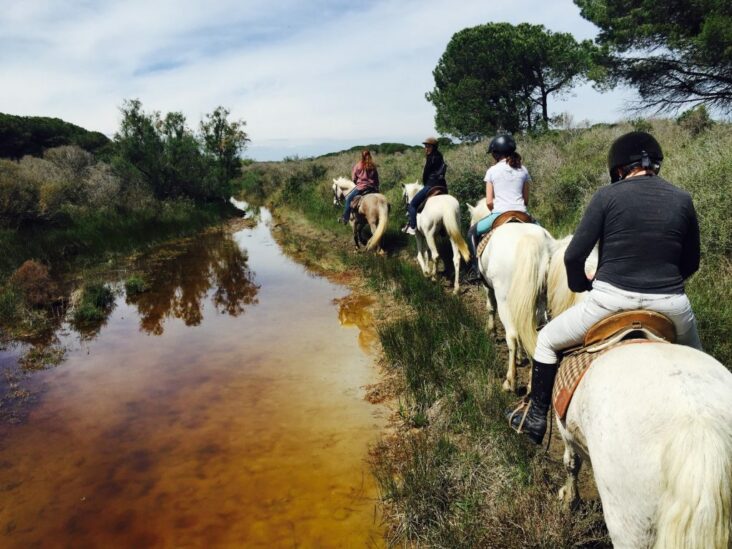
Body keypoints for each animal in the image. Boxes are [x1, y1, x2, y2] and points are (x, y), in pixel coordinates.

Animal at [466, 199, 552, 392]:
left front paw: (491, 331)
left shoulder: (488, 287)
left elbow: (490, 307)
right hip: (539, 298)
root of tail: (529, 241)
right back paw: (531, 383)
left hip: (504, 298)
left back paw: (510, 382)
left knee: (511, 335)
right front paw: (522, 356)